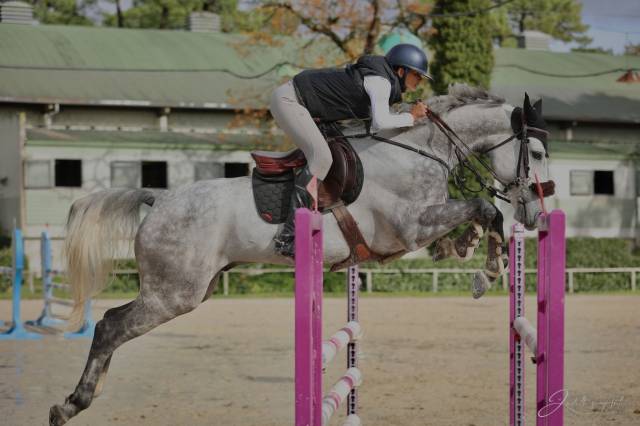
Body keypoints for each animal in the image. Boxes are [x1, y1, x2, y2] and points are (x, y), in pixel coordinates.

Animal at [49, 84, 552, 425]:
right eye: (538, 151)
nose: (537, 209)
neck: (420, 152)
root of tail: (159, 199)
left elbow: (481, 216)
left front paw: (477, 255)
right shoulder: (411, 227)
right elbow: (483, 206)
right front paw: (484, 267)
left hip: (192, 289)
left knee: (113, 323)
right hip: (174, 293)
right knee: (110, 326)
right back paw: (71, 403)